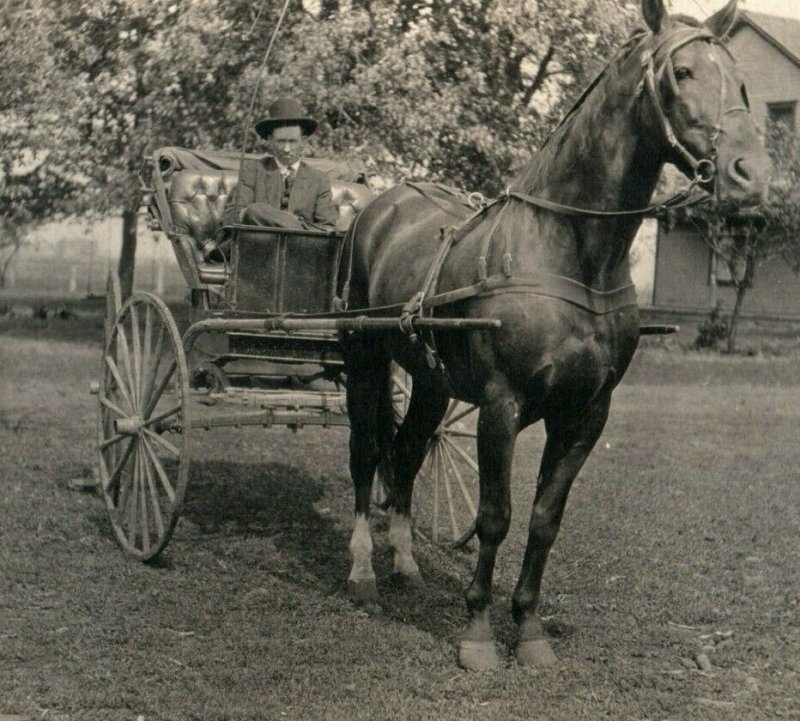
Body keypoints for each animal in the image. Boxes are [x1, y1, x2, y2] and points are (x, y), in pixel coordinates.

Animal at [336, 0, 768, 668]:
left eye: (741, 81)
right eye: (683, 72)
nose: (752, 175)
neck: (568, 252)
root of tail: (379, 207)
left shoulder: (585, 414)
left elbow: (544, 520)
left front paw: (531, 631)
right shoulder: (501, 404)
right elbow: (496, 516)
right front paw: (478, 635)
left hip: (432, 382)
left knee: (405, 456)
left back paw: (406, 565)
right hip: (363, 359)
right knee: (365, 457)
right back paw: (363, 574)